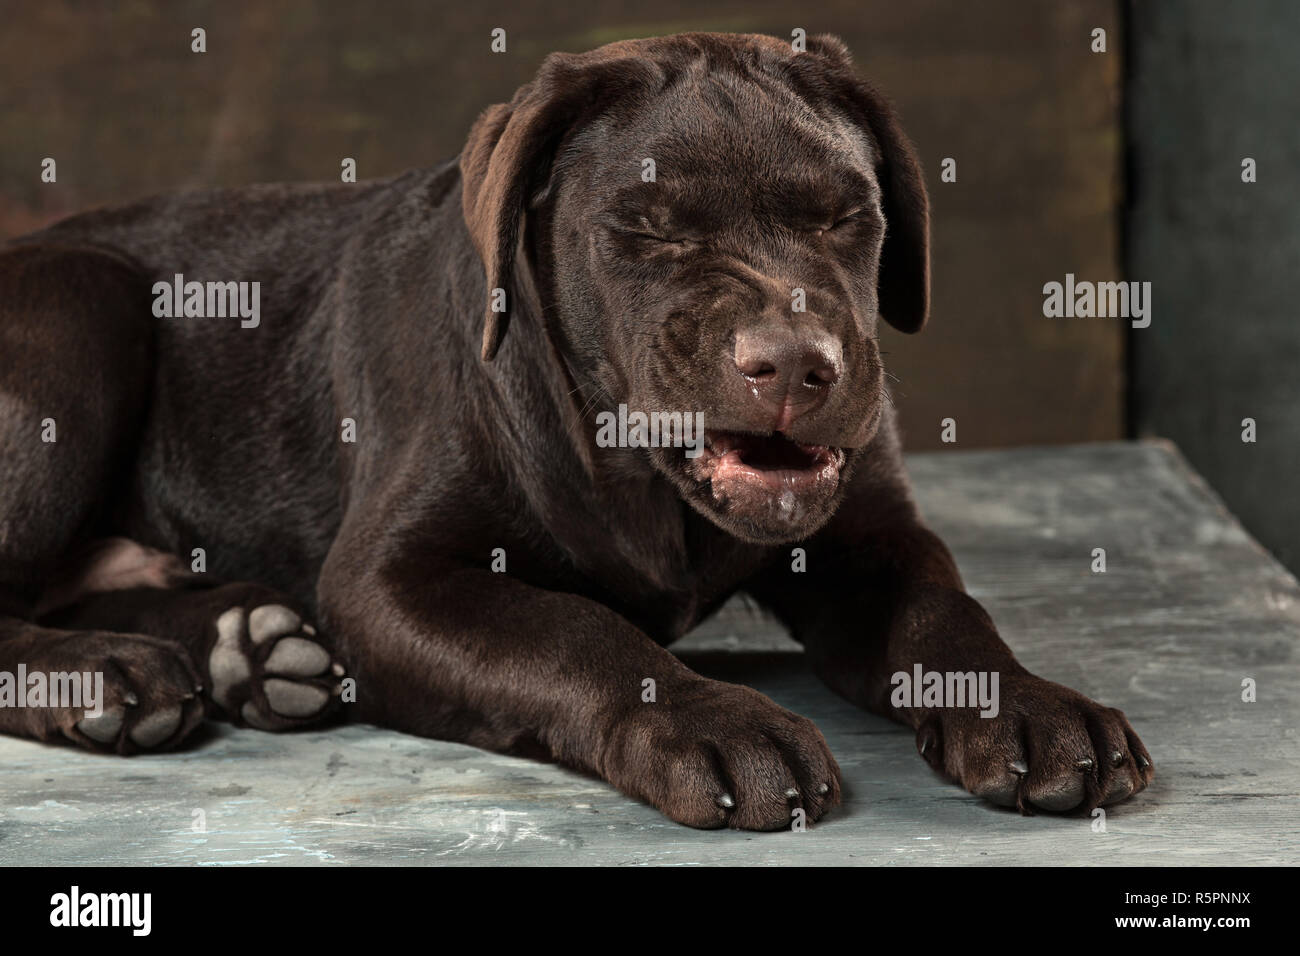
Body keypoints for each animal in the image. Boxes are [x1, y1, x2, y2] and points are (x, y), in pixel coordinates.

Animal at [0, 33, 1154, 827]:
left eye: (846, 218)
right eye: (646, 229)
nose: (792, 362)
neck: (633, 475)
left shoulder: (870, 537)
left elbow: (944, 610)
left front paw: (1030, 703)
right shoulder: (391, 581)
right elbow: (574, 630)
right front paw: (716, 722)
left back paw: (246, 648)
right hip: (82, 303)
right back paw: (110, 677)